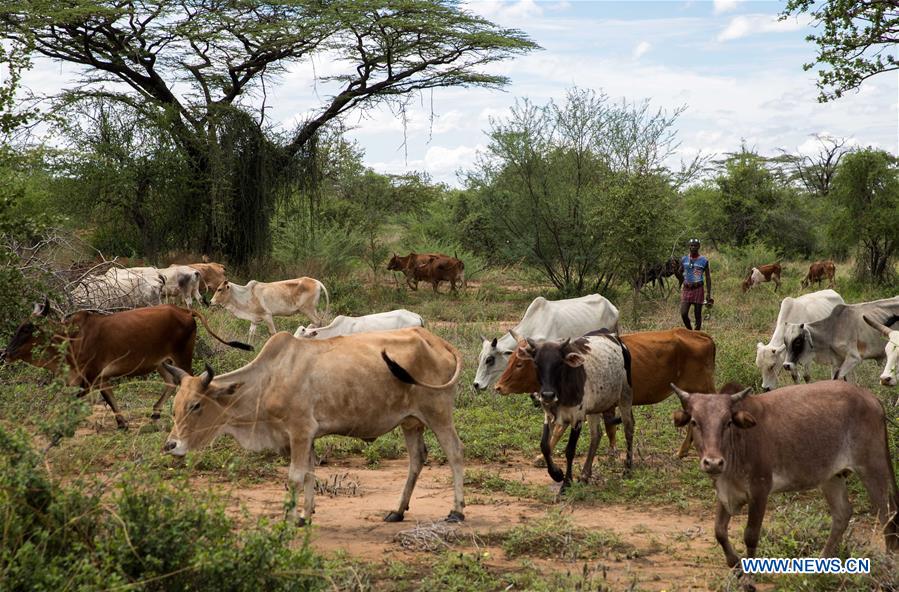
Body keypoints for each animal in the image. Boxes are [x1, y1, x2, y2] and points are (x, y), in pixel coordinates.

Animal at [163, 328, 468, 528]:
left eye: (196, 405)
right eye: (174, 406)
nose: (171, 445)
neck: (269, 379)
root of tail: (435, 340)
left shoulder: (300, 431)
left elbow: (295, 477)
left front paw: (288, 519)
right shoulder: (306, 438)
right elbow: (310, 474)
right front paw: (304, 516)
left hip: (439, 414)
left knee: (455, 453)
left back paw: (457, 511)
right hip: (410, 422)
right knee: (417, 458)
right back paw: (398, 511)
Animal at [496, 328, 712, 462]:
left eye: (519, 364)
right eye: (511, 359)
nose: (498, 387)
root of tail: (702, 335)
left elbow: (560, 430)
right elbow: (608, 429)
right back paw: (683, 452)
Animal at [676, 382, 899, 576]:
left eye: (728, 422)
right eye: (694, 422)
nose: (713, 463)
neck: (738, 444)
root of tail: (871, 398)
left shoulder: (760, 490)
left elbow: (750, 536)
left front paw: (749, 577)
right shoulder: (725, 492)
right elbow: (719, 531)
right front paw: (735, 564)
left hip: (873, 468)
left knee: (887, 517)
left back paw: (888, 568)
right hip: (832, 477)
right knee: (843, 514)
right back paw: (820, 566)